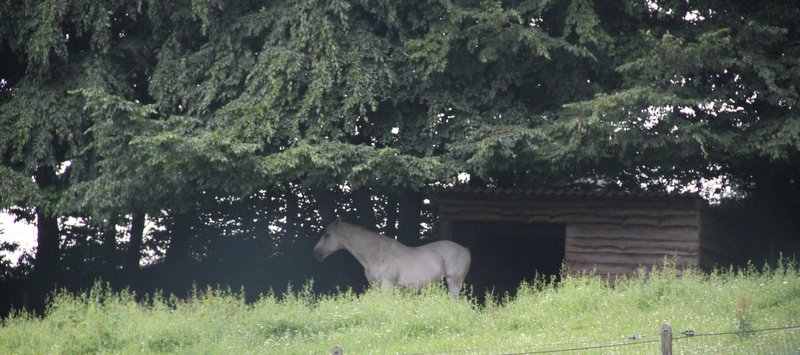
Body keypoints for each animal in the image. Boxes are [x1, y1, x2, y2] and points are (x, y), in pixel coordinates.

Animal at [310, 220, 468, 298]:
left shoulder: (387, 285)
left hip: (454, 283)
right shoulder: (376, 286)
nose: (315, 253)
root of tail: (465, 249)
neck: (376, 253)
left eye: (327, 235)